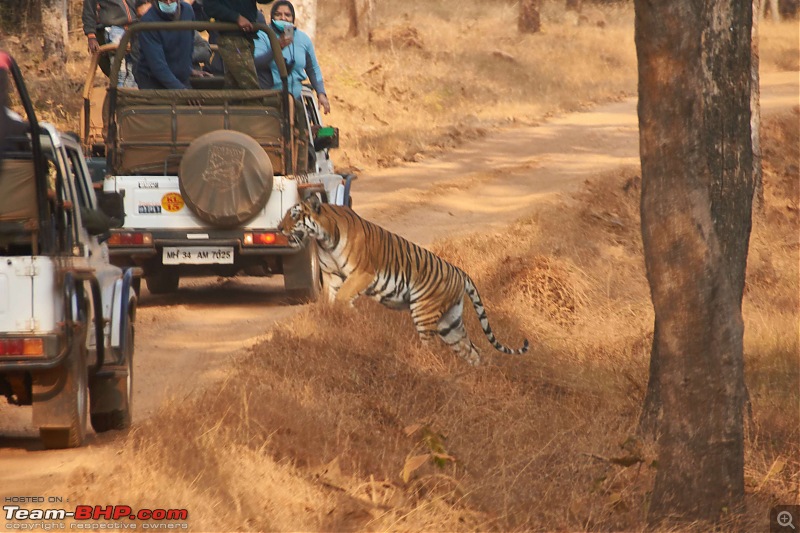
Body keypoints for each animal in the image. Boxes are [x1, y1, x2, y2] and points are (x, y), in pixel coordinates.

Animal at [278, 195, 528, 366]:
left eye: (294, 215)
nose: (279, 228)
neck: (323, 239)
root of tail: (460, 272)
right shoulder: (331, 275)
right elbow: (332, 300)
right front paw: (332, 322)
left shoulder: (362, 274)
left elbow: (342, 298)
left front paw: (356, 319)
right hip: (450, 323)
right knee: (472, 350)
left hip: (424, 312)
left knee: (433, 347)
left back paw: (425, 365)